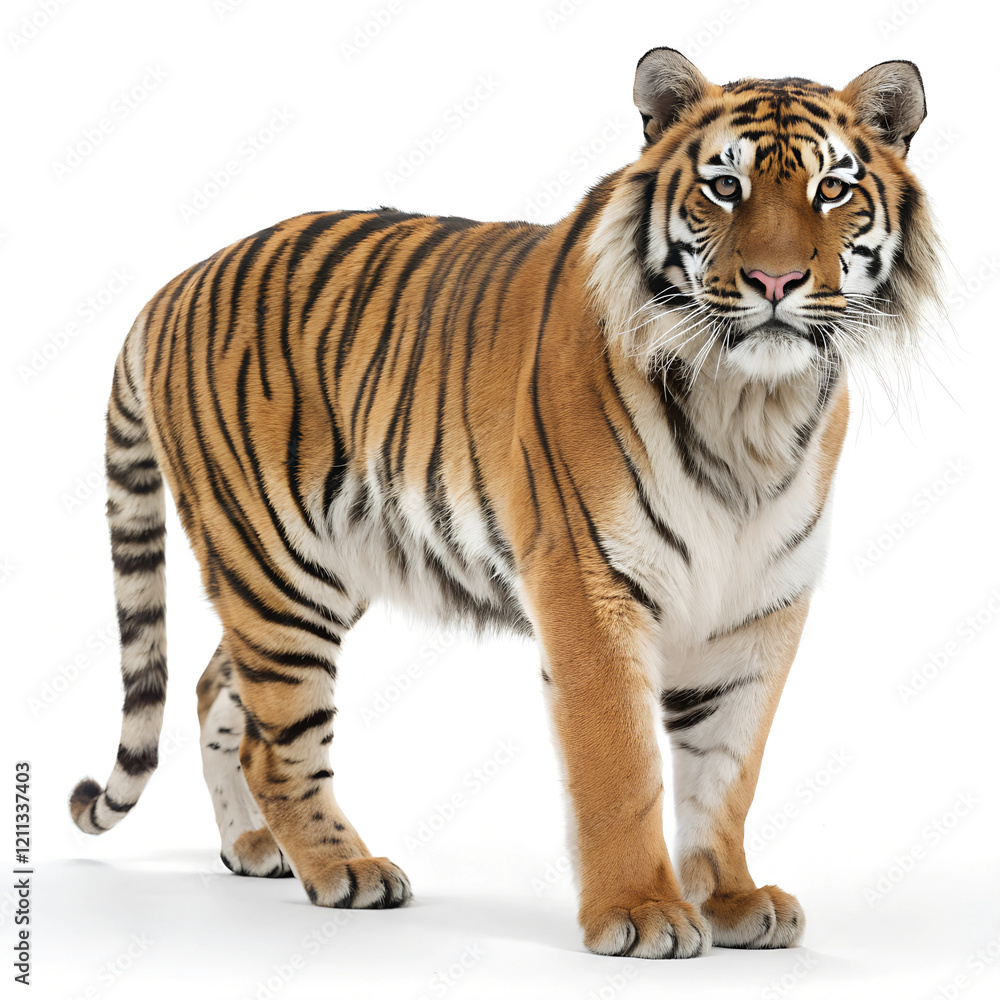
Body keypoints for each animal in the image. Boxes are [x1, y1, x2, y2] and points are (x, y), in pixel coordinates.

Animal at [69, 47, 943, 959]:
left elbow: (727, 768)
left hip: (318, 569)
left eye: (832, 189)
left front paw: (733, 900)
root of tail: (173, 285)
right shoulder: (590, 587)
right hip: (275, 565)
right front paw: (640, 911)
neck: (752, 407)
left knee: (220, 692)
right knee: (279, 743)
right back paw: (345, 869)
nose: (776, 280)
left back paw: (251, 848)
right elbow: (621, 764)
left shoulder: (760, 605)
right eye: (725, 187)